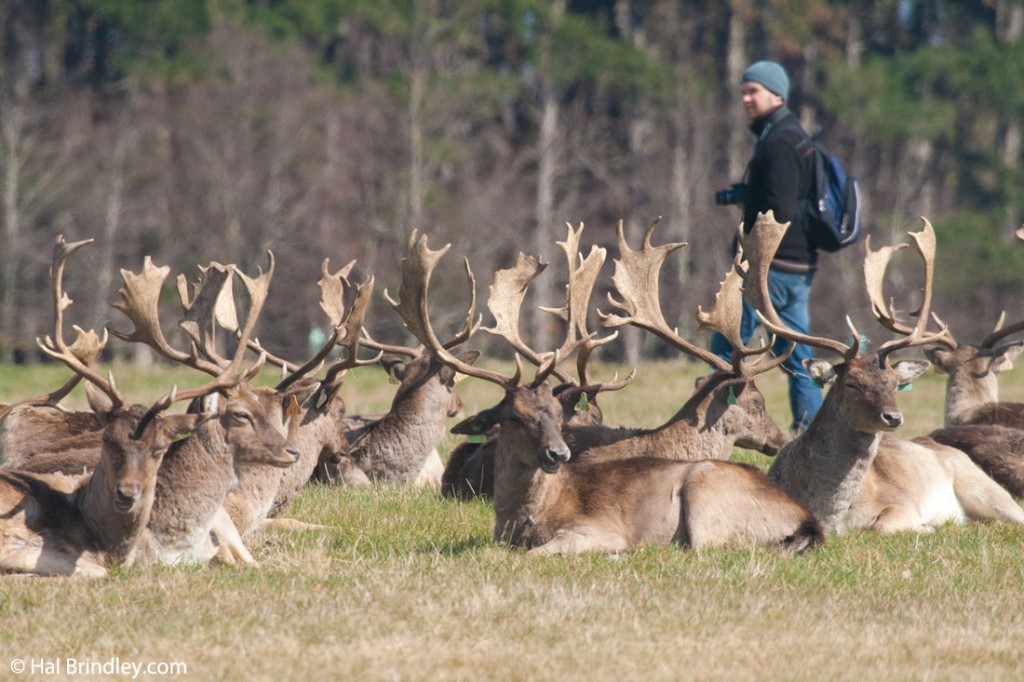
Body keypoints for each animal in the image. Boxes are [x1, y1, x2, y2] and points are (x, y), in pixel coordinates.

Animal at [745, 212, 1024, 532]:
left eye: (893, 383)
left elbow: (881, 524)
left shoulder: (900, 502)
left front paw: (927, 526)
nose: (893, 417)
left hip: (984, 486)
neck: (832, 515)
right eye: (851, 383)